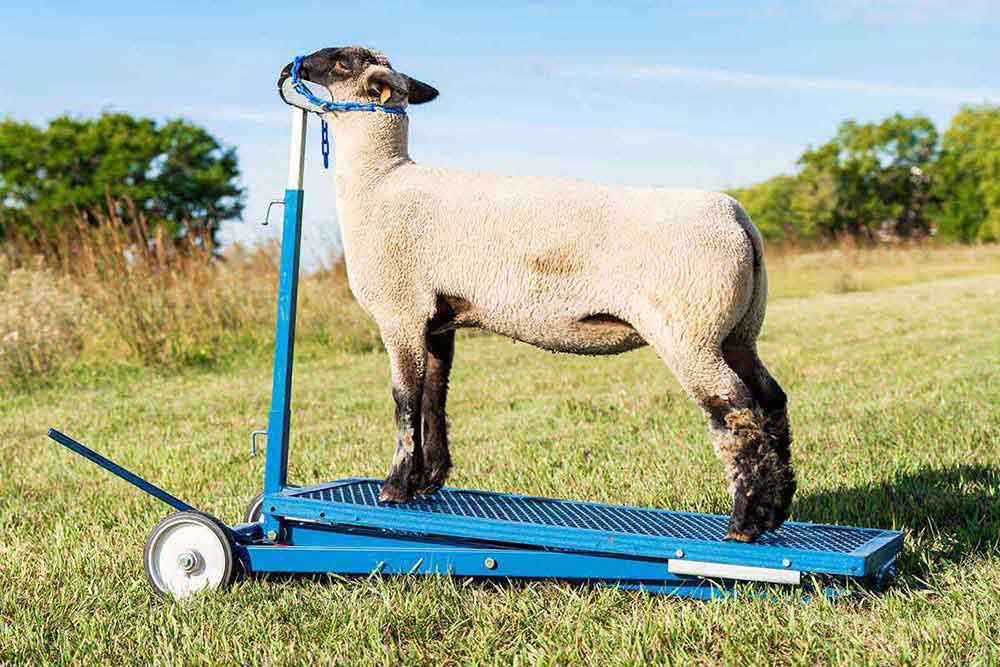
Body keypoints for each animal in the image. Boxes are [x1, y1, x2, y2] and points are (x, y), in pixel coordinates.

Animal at [277, 46, 795, 542]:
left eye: (341, 62)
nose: (285, 70)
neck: (379, 182)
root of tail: (737, 218)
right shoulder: (437, 320)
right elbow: (434, 398)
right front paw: (430, 480)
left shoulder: (400, 312)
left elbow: (405, 399)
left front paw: (396, 487)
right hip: (738, 332)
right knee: (771, 398)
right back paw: (776, 508)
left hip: (689, 332)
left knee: (736, 412)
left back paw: (744, 523)